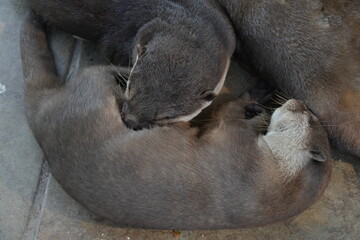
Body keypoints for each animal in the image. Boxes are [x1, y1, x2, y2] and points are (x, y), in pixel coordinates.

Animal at [21, 13, 332, 231]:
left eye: (309, 117)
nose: (300, 101)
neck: (271, 182)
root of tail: (41, 111)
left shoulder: (234, 142)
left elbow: (225, 113)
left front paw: (248, 101)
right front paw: (257, 102)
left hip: (92, 93)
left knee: (100, 72)